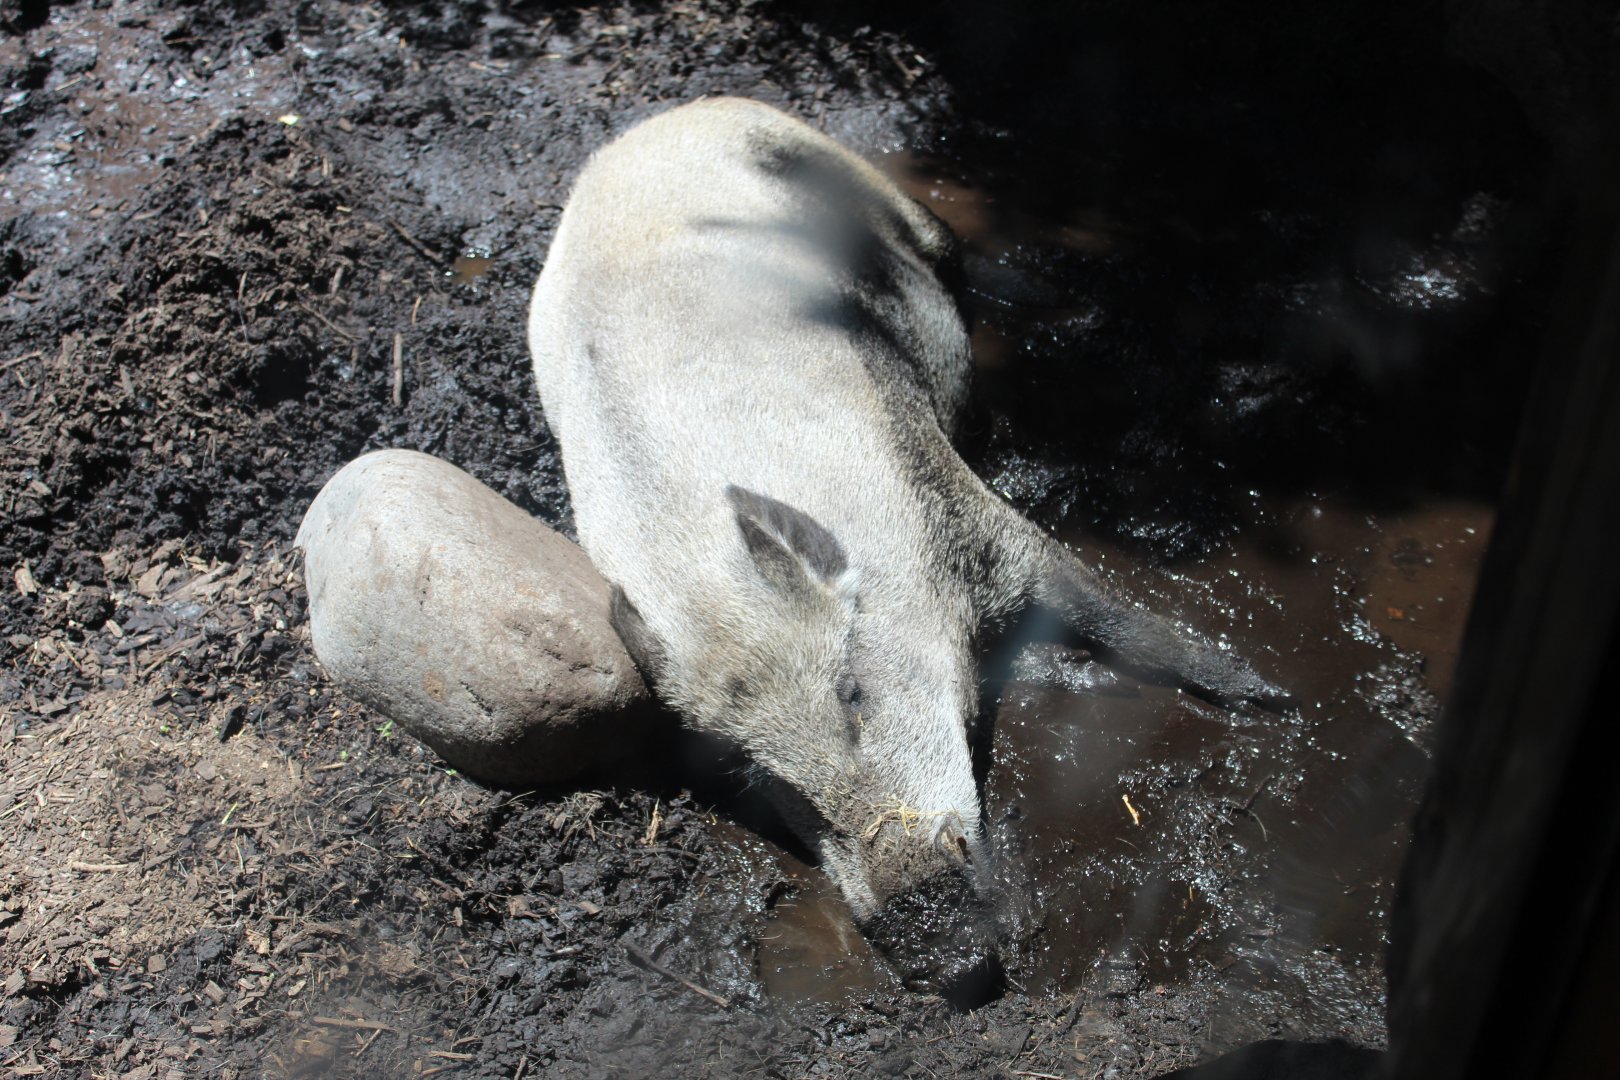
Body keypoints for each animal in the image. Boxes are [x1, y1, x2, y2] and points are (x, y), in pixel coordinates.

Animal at [528, 98, 1281, 995]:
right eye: (758, 774)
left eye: (853, 691)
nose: (940, 953)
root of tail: (668, 119)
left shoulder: (970, 513)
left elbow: (1108, 607)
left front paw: (1268, 698)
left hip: (866, 186)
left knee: (954, 247)